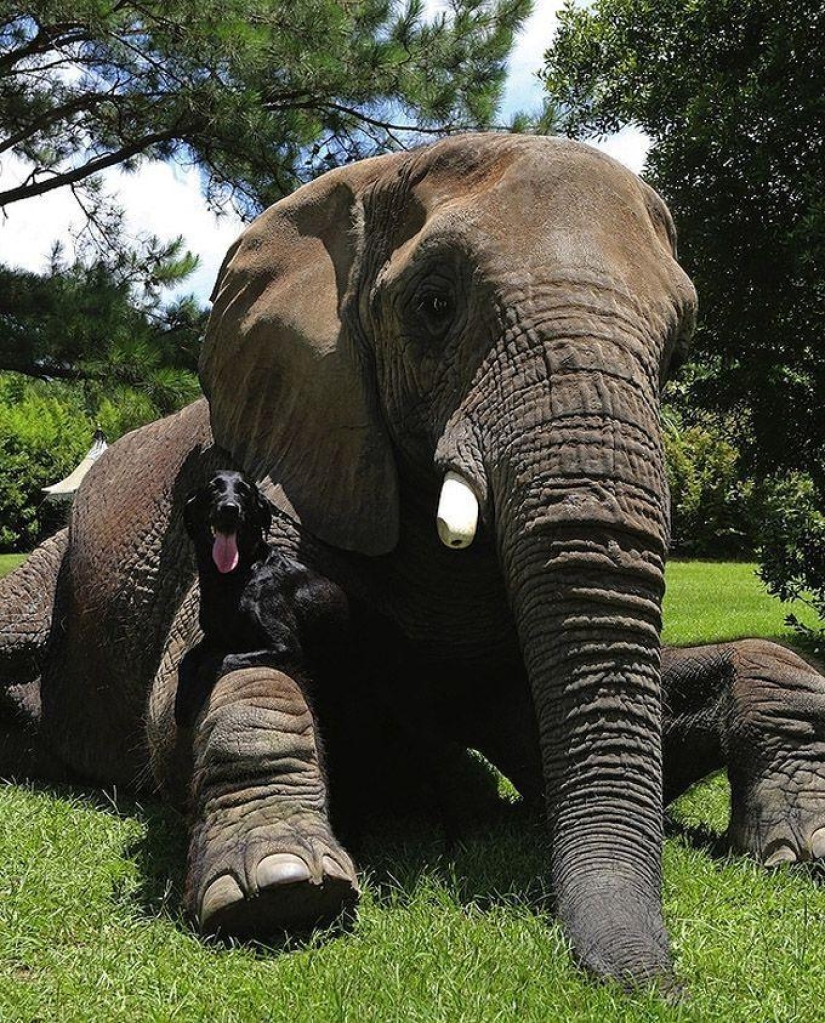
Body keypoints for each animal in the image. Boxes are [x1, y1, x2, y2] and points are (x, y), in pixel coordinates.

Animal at [177, 470, 348, 728]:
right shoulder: (212, 636)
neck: (234, 578)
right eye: (213, 487)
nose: (230, 509)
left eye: (244, 491)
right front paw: (180, 707)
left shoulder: (286, 648)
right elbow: (185, 660)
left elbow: (221, 661)